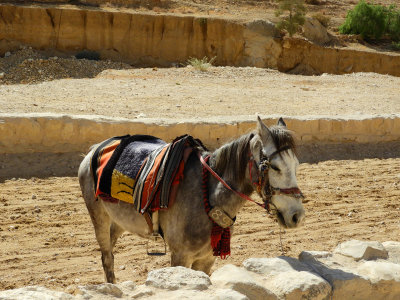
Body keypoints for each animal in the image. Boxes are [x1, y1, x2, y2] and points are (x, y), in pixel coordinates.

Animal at [78, 118, 304, 284]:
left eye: (296, 165)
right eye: (274, 167)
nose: (297, 215)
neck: (209, 197)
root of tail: (95, 149)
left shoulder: (207, 259)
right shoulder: (180, 257)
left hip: (119, 221)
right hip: (99, 217)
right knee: (107, 257)